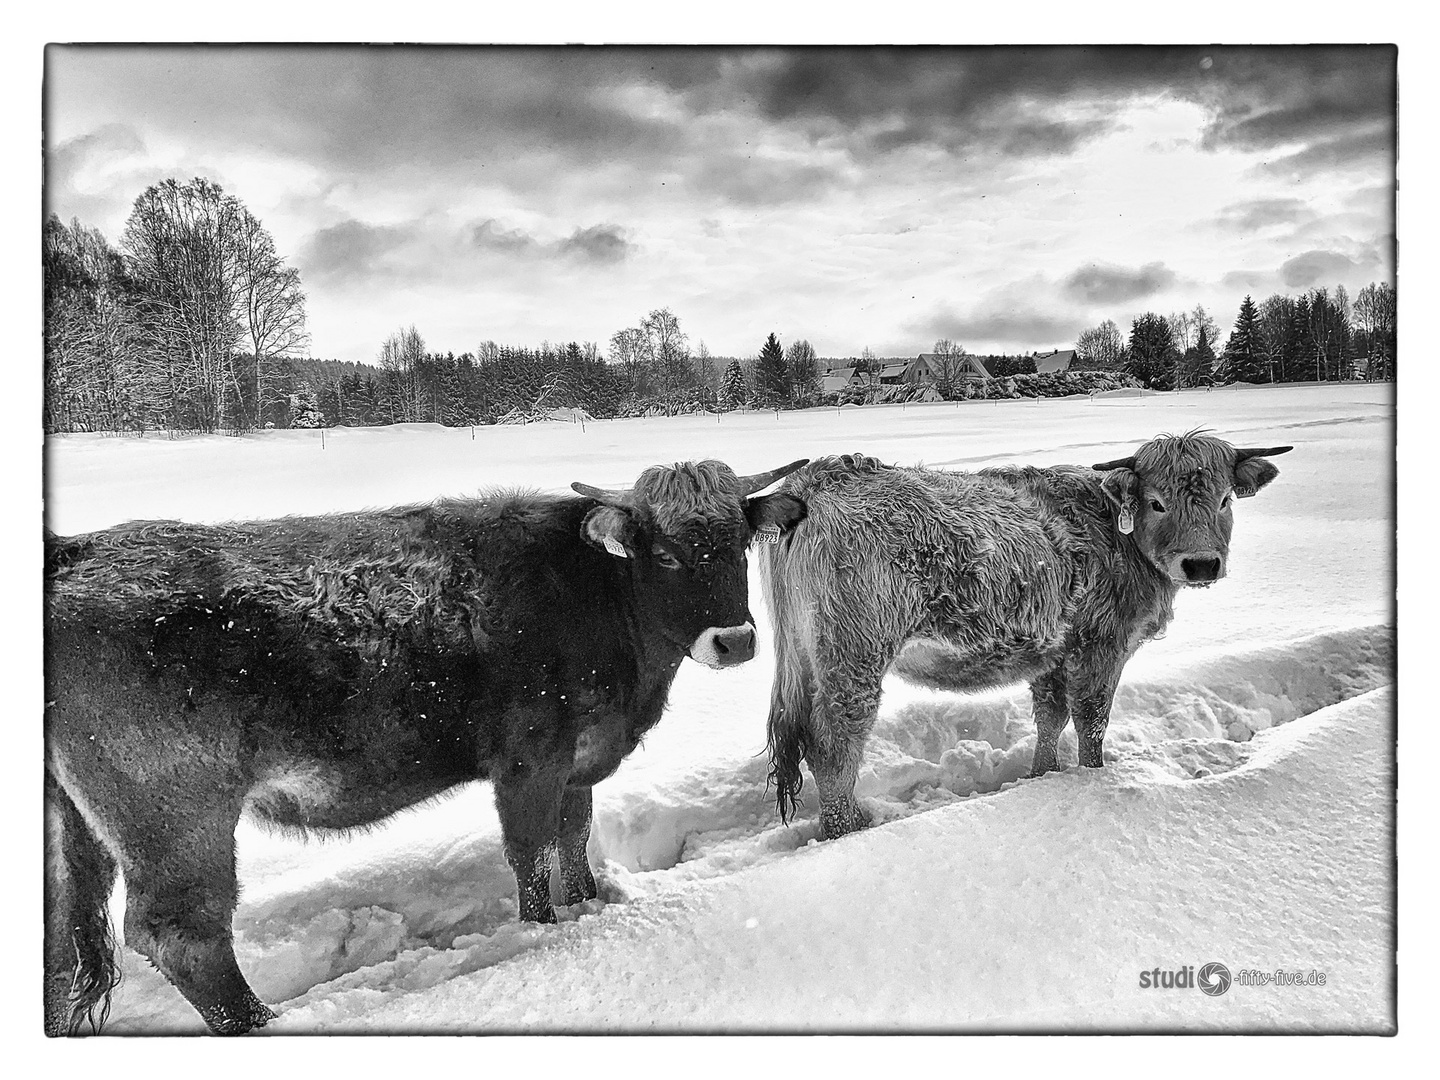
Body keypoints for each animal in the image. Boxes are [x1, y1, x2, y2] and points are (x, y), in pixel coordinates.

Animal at [45, 457, 812, 1042]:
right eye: (666, 553)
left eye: (739, 543)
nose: (734, 640)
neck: (594, 593)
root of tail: (77, 551)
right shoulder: (530, 762)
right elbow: (531, 853)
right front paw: (544, 932)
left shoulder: (580, 762)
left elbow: (574, 838)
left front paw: (592, 903)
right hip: (177, 817)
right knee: (181, 932)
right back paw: (263, 1023)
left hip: (75, 829)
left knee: (63, 937)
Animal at [760, 434, 1290, 840]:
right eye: (1157, 503)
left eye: (1224, 500)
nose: (1202, 564)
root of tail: (826, 474)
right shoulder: (1102, 644)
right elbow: (1092, 721)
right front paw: (1093, 775)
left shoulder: (1054, 651)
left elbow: (1051, 717)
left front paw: (1043, 776)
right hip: (854, 659)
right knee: (833, 747)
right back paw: (849, 829)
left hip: (807, 660)